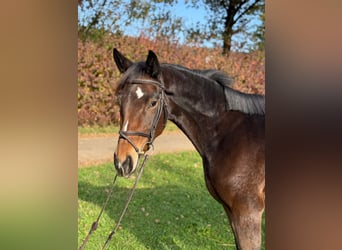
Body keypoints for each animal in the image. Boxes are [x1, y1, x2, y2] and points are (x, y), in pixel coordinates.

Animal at [112, 48, 264, 250]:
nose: (122, 162)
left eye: (153, 102)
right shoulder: (231, 211)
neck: (229, 134)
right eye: (119, 100)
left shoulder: (248, 213)